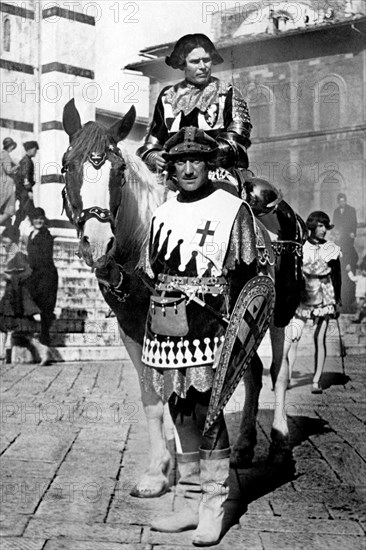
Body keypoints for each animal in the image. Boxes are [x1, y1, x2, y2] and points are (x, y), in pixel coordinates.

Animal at [61, 99, 304, 500]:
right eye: (67, 165)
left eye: (120, 171)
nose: (96, 243)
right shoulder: (132, 330)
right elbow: (153, 399)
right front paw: (159, 472)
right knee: (252, 373)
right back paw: (243, 447)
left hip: (279, 311)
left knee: (279, 372)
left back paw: (281, 445)